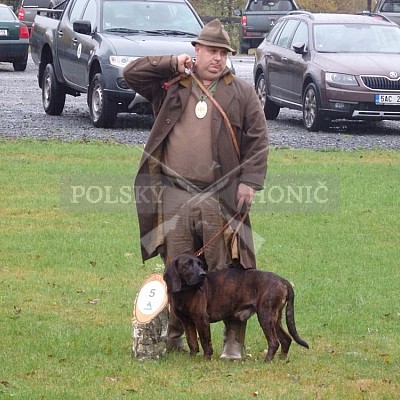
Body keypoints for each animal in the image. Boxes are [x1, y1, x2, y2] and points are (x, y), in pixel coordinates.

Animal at [162, 256, 310, 362]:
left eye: (199, 264)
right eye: (187, 264)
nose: (202, 274)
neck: (184, 292)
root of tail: (283, 281)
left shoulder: (201, 320)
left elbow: (205, 341)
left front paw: (206, 359)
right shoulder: (187, 322)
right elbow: (192, 341)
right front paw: (192, 358)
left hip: (265, 316)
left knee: (274, 342)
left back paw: (267, 361)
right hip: (275, 318)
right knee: (286, 339)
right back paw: (281, 360)